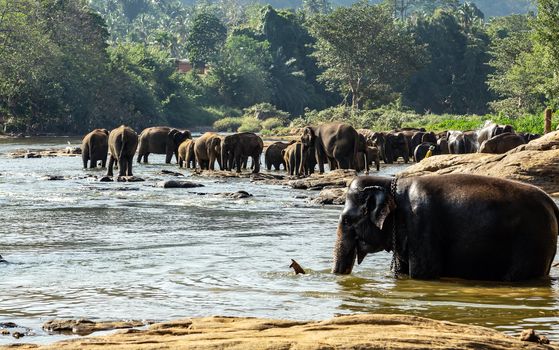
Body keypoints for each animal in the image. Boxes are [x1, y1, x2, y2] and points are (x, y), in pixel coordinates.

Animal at [334, 175, 556, 282]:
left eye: (347, 220)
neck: (391, 184)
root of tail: (552, 204)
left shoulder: (422, 226)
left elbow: (422, 274)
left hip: (532, 242)